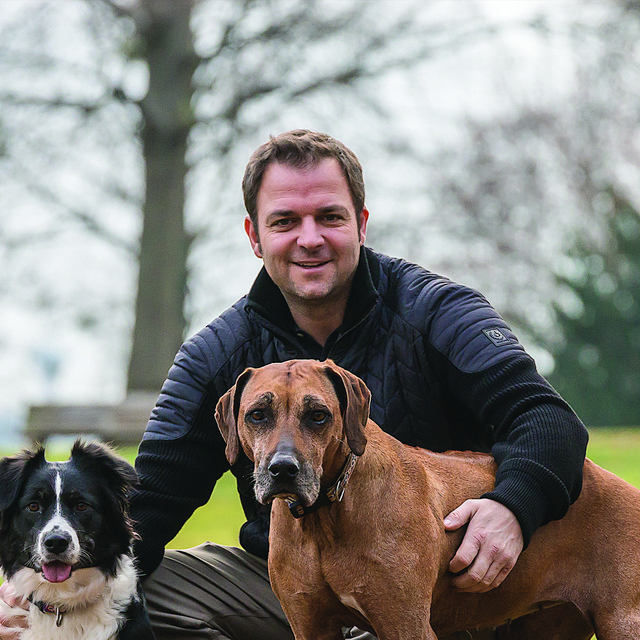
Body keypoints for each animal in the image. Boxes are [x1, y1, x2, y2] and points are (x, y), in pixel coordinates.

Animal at [216, 360, 640, 640]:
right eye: (257, 414)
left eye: (318, 415)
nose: (283, 469)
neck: (327, 515)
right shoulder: (310, 626)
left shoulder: (406, 624)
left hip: (624, 622)